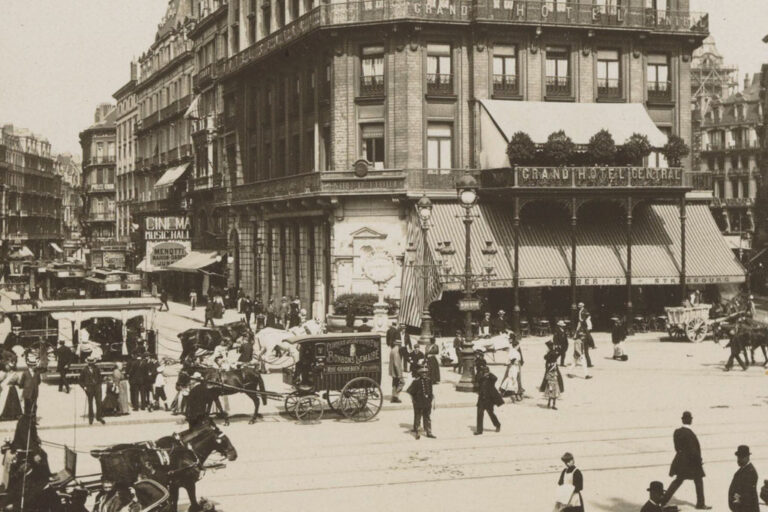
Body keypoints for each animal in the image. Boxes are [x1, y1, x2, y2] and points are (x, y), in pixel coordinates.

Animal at [90, 420, 236, 512]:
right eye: (223, 439)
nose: (234, 454)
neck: (185, 450)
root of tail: (104, 454)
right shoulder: (188, 483)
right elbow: (193, 504)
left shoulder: (174, 485)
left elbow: (174, 503)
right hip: (120, 488)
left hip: (111, 487)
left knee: (100, 500)